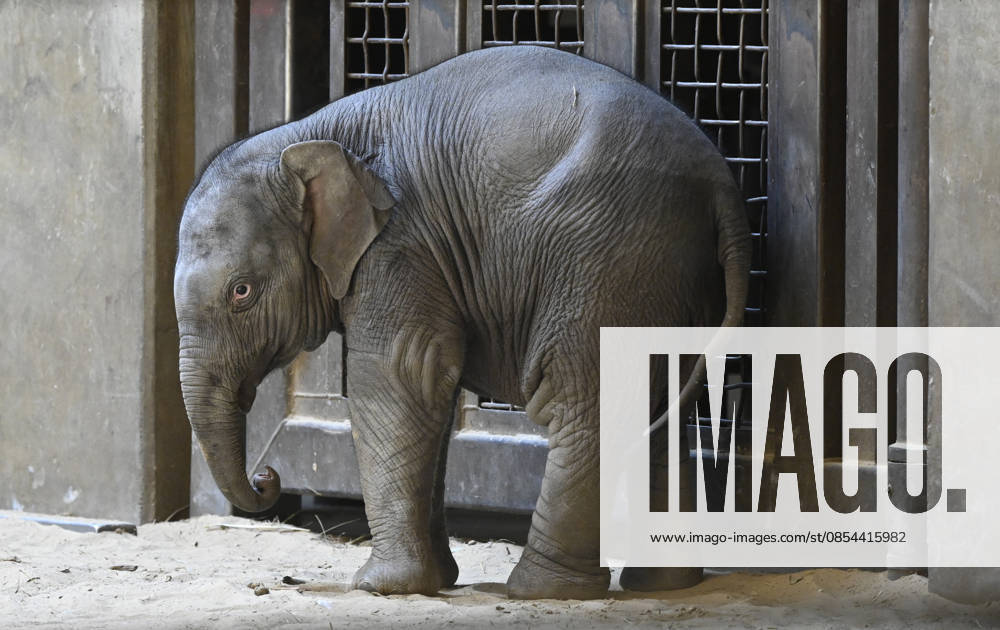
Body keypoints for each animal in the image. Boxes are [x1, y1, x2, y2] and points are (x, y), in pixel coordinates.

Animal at [174, 45, 750, 600]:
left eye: (241, 292)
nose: (266, 477)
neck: (307, 135)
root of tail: (721, 184)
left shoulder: (401, 249)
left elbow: (400, 380)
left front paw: (381, 586)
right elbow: (431, 393)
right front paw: (435, 581)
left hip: (606, 262)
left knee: (581, 404)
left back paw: (540, 591)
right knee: (662, 407)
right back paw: (661, 585)